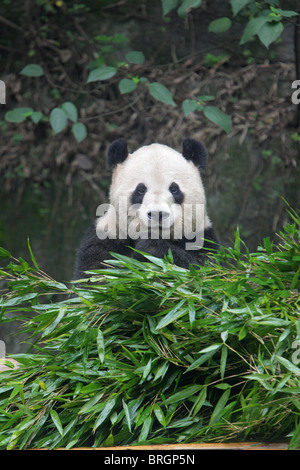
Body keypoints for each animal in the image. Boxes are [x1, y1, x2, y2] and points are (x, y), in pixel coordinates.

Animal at [72, 137, 218, 280]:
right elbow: (94, 276)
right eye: (141, 190)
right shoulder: (105, 236)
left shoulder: (202, 237)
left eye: (174, 189)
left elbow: (205, 270)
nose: (157, 214)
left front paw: (151, 248)